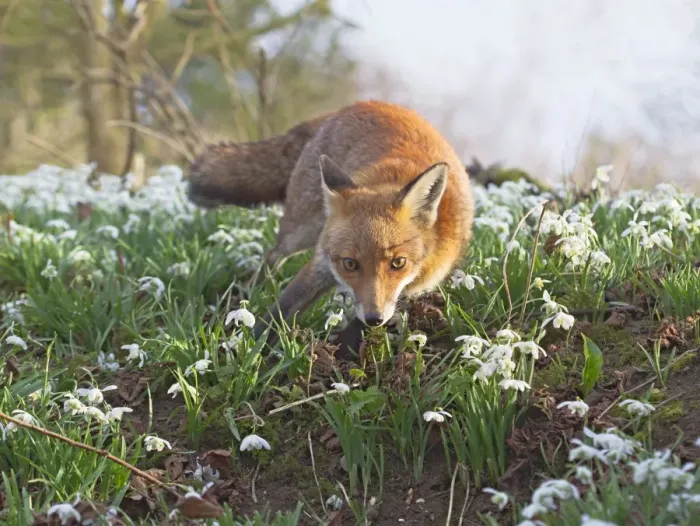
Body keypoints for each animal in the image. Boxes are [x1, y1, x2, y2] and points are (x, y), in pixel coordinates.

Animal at [187, 100, 475, 353]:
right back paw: (253, 290)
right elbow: (281, 309)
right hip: (301, 229)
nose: (374, 318)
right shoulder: (322, 265)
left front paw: (341, 352)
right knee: (274, 254)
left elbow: (359, 326)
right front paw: (244, 348)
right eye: (350, 264)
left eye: (398, 263)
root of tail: (357, 104)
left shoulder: (411, 291)